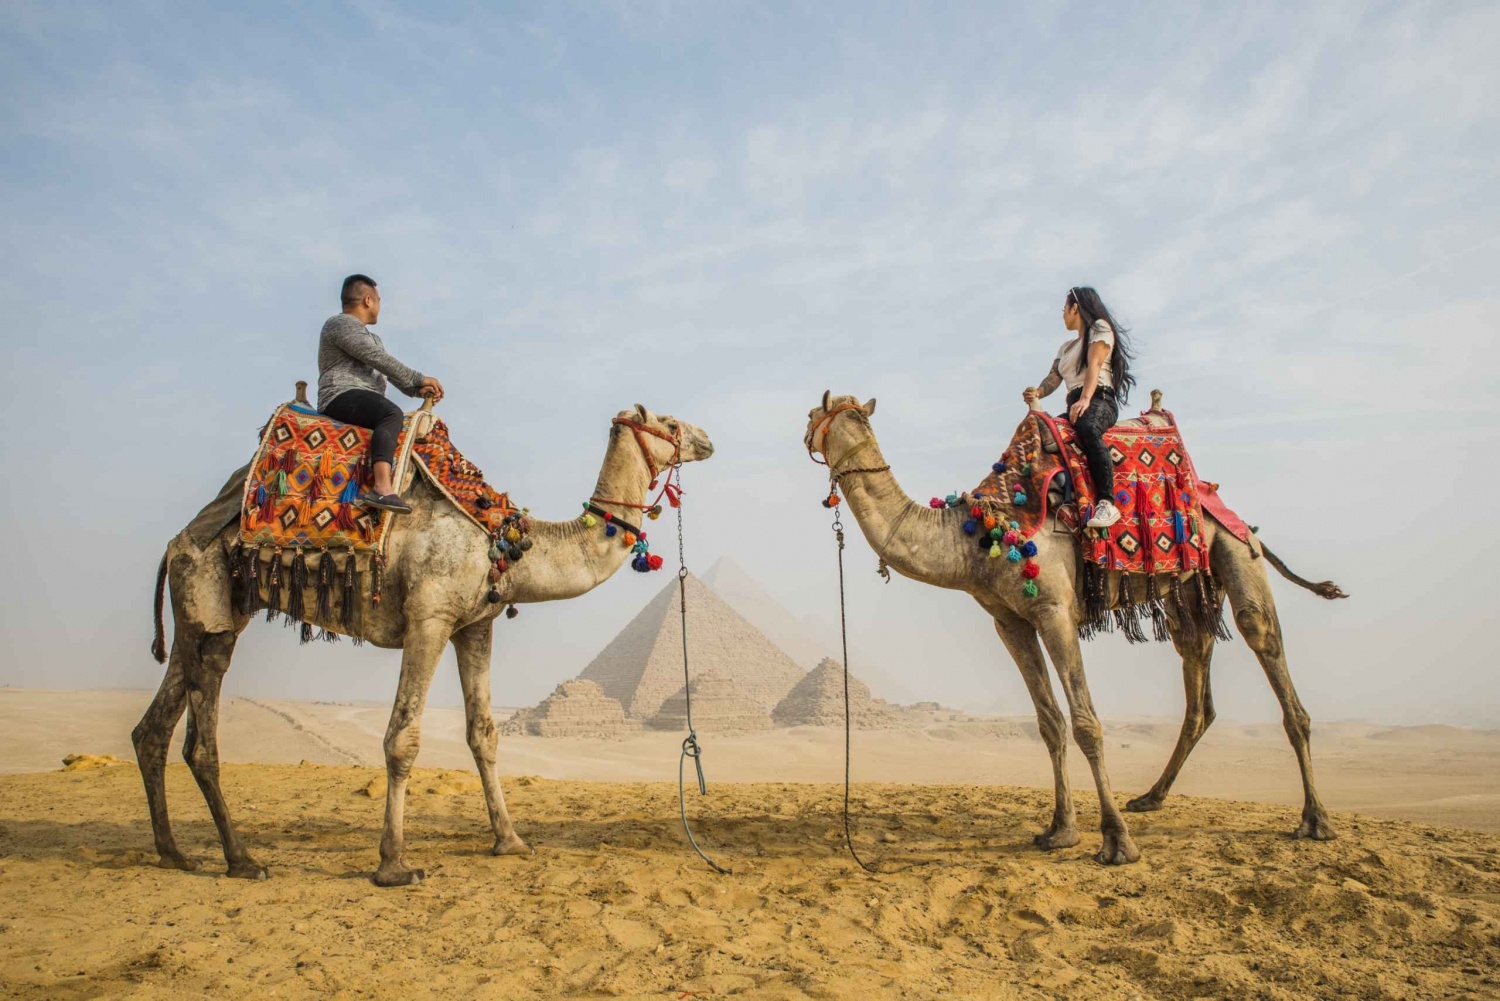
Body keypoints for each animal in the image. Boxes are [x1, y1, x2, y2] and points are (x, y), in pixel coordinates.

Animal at [133, 399, 708, 882]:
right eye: (668, 421)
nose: (705, 438)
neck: (503, 540)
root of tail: (175, 542)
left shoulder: (475, 626)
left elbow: (484, 735)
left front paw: (510, 840)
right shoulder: (428, 618)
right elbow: (401, 739)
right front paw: (393, 863)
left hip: (209, 615)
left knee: (153, 728)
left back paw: (173, 852)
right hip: (207, 600)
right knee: (200, 737)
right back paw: (241, 859)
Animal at [810, 390, 1350, 864]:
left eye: (816, 413)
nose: (803, 429)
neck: (978, 538)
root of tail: (1224, 505)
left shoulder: (1054, 611)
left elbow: (1086, 721)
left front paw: (1116, 842)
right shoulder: (1009, 621)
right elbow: (1050, 723)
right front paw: (1059, 830)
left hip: (1237, 551)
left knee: (1265, 647)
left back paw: (1315, 820)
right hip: (1189, 593)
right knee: (1196, 674)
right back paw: (1150, 797)